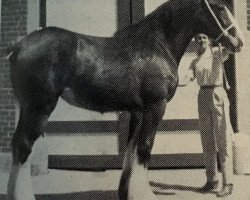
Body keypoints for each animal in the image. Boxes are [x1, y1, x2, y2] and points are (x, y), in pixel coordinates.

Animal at [6, 0, 243, 200]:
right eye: (219, 7)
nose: (239, 42)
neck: (156, 45)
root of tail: (18, 47)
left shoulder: (137, 112)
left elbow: (131, 149)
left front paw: (127, 192)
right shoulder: (155, 107)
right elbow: (145, 147)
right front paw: (144, 194)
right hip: (39, 107)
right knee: (24, 146)